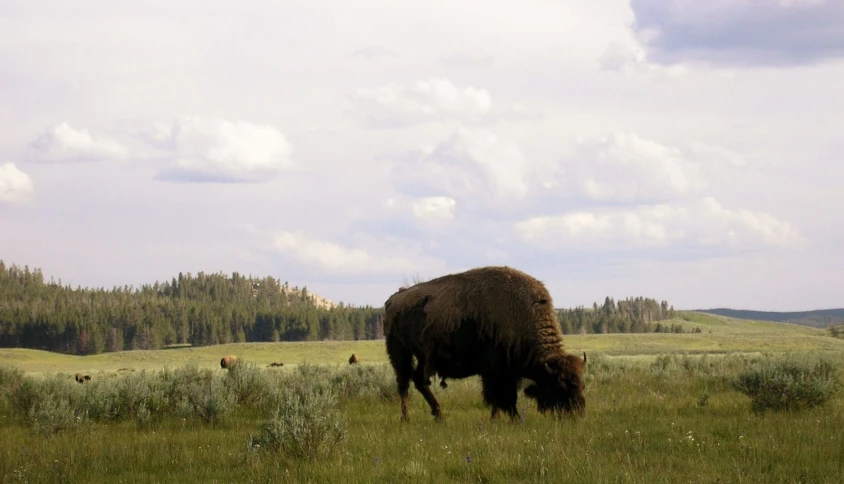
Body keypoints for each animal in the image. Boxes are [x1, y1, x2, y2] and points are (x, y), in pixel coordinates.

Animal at [384, 266, 588, 422]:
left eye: (582, 385)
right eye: (561, 386)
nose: (578, 414)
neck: (522, 315)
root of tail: (394, 299)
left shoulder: (507, 372)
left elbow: (501, 398)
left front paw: (498, 419)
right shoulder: (495, 371)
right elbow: (502, 397)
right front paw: (513, 420)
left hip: (422, 356)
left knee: (419, 381)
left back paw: (439, 416)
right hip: (400, 353)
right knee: (404, 385)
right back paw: (406, 419)